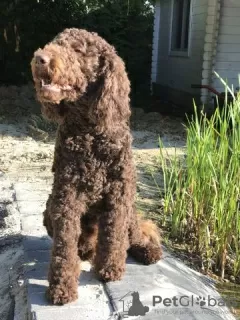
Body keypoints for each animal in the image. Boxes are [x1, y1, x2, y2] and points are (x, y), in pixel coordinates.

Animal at [31, 28, 162, 304]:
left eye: (78, 50)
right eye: (56, 43)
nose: (40, 59)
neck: (89, 131)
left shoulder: (118, 194)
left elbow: (113, 236)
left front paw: (110, 269)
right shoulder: (66, 196)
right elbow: (64, 246)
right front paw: (61, 287)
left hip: (130, 211)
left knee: (134, 235)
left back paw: (147, 250)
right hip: (49, 208)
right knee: (85, 242)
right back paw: (86, 250)